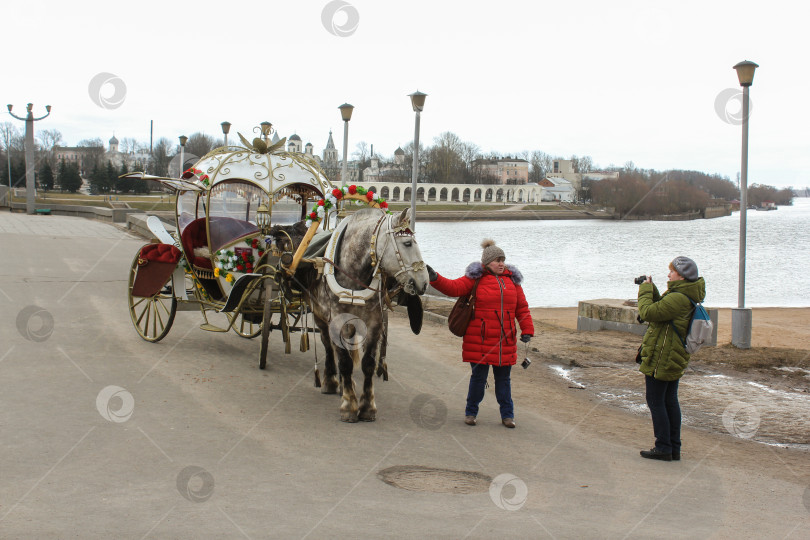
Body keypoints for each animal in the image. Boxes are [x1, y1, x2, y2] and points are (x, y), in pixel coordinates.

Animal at [304, 207, 430, 422]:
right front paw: (349, 406)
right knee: (328, 347)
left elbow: (368, 363)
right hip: (320, 317)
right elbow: (345, 361)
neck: (354, 272)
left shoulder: (374, 323)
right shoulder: (337, 321)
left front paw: (367, 407)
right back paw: (331, 381)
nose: (424, 282)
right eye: (407, 243)